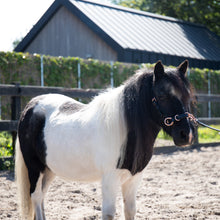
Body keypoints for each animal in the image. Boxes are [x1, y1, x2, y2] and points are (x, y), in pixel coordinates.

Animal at [15, 60, 194, 220]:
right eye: (162, 95)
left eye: (187, 96)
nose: (186, 135)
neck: (124, 131)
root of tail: (31, 105)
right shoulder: (110, 178)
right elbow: (108, 213)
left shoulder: (134, 178)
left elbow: (130, 210)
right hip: (35, 167)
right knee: (36, 196)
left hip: (49, 169)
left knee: (42, 196)